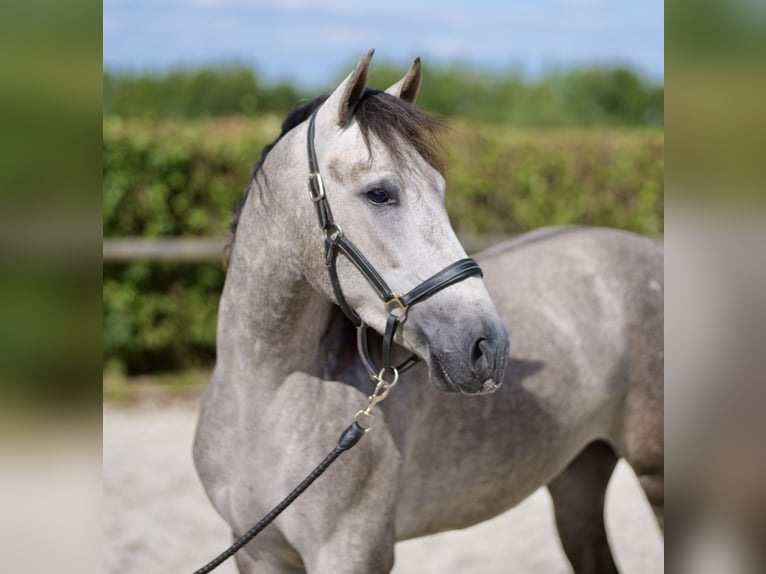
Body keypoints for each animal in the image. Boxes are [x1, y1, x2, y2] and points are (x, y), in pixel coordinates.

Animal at [194, 50, 664, 574]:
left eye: (439, 188)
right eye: (380, 193)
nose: (487, 347)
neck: (264, 395)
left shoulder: (351, 552)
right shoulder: (257, 551)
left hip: (657, 477)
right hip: (578, 475)